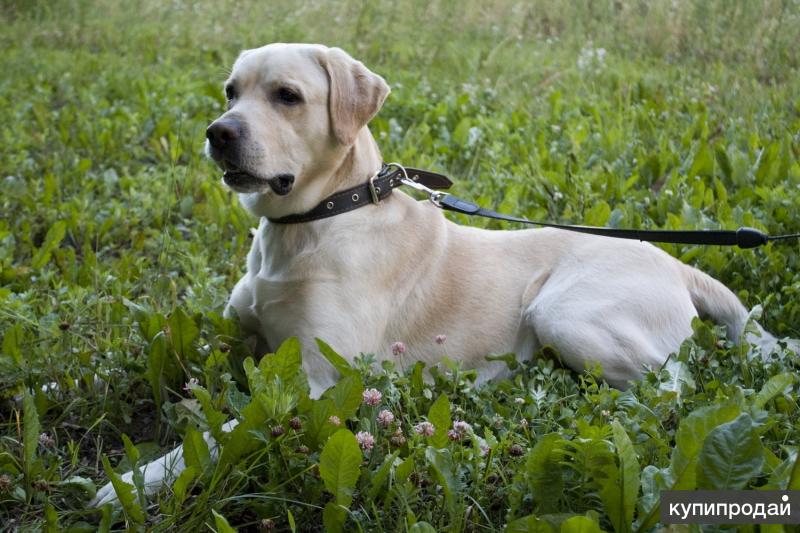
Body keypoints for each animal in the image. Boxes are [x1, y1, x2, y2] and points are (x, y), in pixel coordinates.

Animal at [90, 43, 780, 504]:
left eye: (287, 96)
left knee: (675, 386)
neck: (313, 220)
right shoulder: (236, 334)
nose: (218, 133)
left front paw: (138, 479)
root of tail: (676, 260)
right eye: (232, 91)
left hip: (564, 313)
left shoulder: (320, 380)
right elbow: (185, 366)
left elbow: (224, 428)